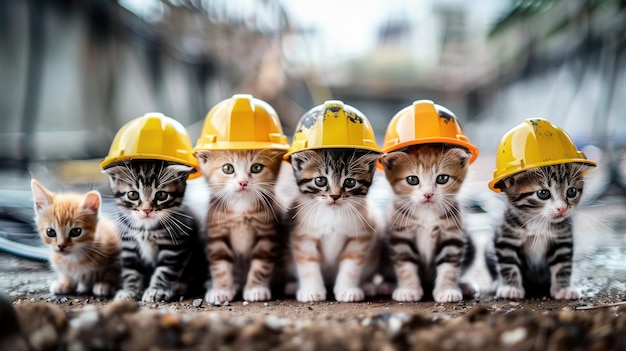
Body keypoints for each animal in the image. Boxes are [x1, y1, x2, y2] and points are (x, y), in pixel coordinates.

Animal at [104, 161, 207, 304]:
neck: (146, 229)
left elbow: (164, 270)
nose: (147, 210)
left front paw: (156, 290)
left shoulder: (174, 246)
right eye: (133, 195)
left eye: (161, 195)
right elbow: (131, 271)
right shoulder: (128, 245)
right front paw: (129, 291)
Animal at [195, 149, 286, 306]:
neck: (241, 206)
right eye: (227, 168)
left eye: (256, 167)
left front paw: (256, 289)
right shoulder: (216, 232)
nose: (243, 182)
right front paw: (221, 290)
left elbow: (262, 263)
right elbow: (219, 264)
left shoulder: (267, 233)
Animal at [286, 148, 378, 302]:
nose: (335, 196)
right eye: (320, 180)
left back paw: (367, 286)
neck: (333, 214)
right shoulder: (303, 234)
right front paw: (311, 290)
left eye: (350, 182)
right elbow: (308, 263)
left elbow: (351, 264)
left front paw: (347, 290)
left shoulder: (361, 235)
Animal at [490, 164, 588, 302]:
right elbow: (507, 264)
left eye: (572, 191)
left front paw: (563, 289)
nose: (562, 208)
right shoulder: (506, 237)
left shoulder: (562, 239)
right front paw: (511, 288)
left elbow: (563, 265)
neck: (538, 221)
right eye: (543, 193)